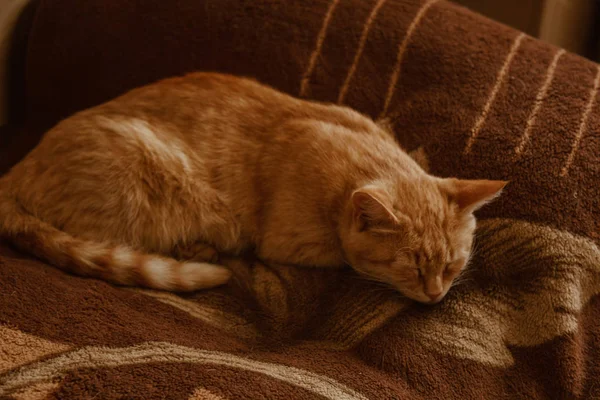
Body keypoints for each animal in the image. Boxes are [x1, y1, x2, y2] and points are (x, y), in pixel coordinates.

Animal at [0, 72, 506, 304]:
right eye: (410, 268)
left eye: (453, 264)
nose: (436, 296)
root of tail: (15, 171)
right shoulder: (287, 244)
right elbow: (342, 258)